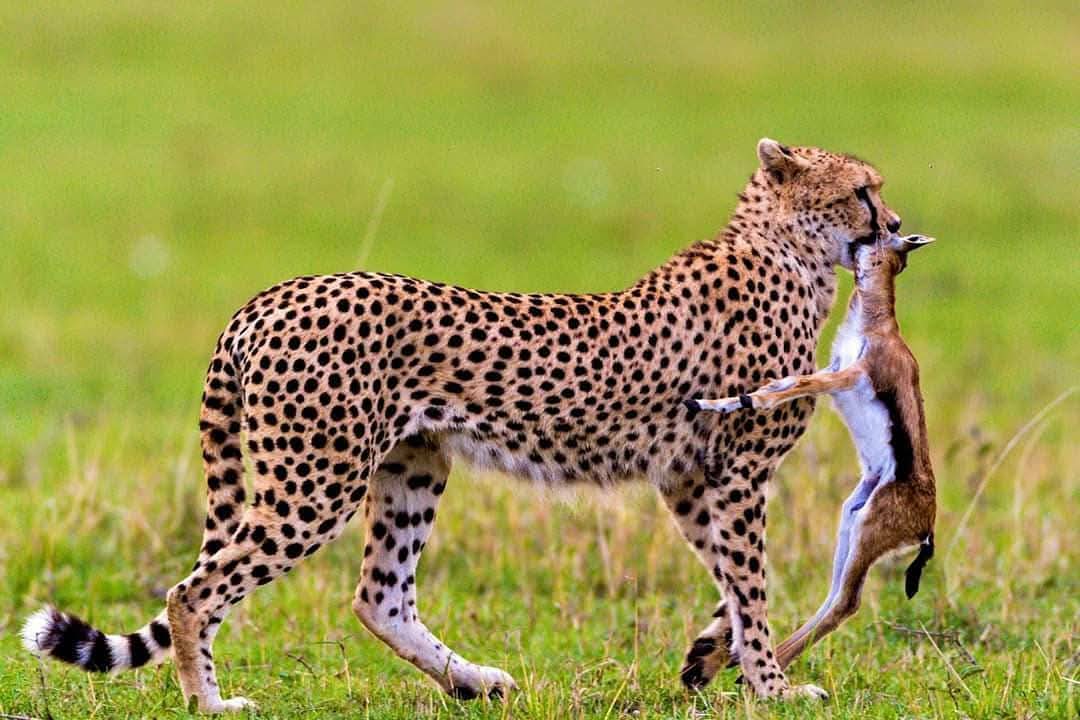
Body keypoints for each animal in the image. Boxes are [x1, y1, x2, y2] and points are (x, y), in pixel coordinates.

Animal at [22, 138, 906, 712]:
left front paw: (709, 657)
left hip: (412, 465)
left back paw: (472, 681)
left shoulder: (690, 479)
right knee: (194, 590)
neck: (786, 251)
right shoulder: (736, 473)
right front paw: (774, 687)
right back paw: (210, 702)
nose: (897, 227)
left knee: (379, 596)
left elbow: (732, 582)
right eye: (863, 190)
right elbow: (753, 585)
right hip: (315, 482)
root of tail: (271, 295)